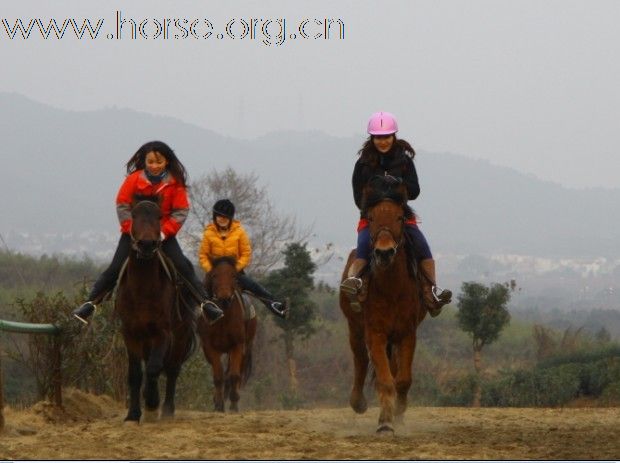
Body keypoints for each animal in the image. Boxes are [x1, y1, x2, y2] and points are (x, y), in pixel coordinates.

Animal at [115, 199, 195, 424]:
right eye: (134, 215)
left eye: (159, 216)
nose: (147, 244)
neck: (142, 287)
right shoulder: (130, 334)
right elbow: (135, 374)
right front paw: (133, 414)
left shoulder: (163, 334)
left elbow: (153, 368)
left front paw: (151, 404)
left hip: (180, 337)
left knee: (172, 370)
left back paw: (167, 409)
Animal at [199, 258, 256, 414]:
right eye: (214, 275)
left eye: (233, 276)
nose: (224, 299)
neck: (222, 317)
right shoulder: (209, 347)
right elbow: (218, 376)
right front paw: (218, 404)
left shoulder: (237, 345)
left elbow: (234, 375)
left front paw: (234, 404)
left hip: (246, 346)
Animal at [340, 182, 426, 436]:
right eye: (371, 217)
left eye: (400, 217)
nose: (384, 252)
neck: (392, 288)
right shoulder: (375, 333)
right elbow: (385, 380)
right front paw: (385, 423)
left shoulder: (407, 334)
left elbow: (403, 379)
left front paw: (398, 412)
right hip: (355, 328)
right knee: (360, 360)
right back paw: (358, 402)